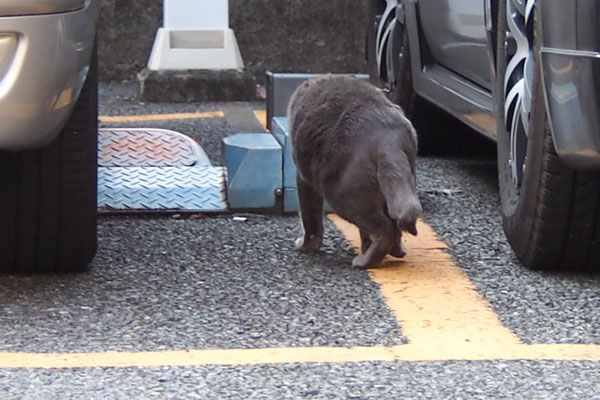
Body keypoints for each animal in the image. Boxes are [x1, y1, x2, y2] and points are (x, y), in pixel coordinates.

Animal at [288, 75, 422, 268]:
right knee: (392, 224)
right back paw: (394, 251)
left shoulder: (304, 178)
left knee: (384, 229)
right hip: (393, 183)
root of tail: (386, 139)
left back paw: (364, 261)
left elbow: (309, 217)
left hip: (341, 192)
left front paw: (306, 246)